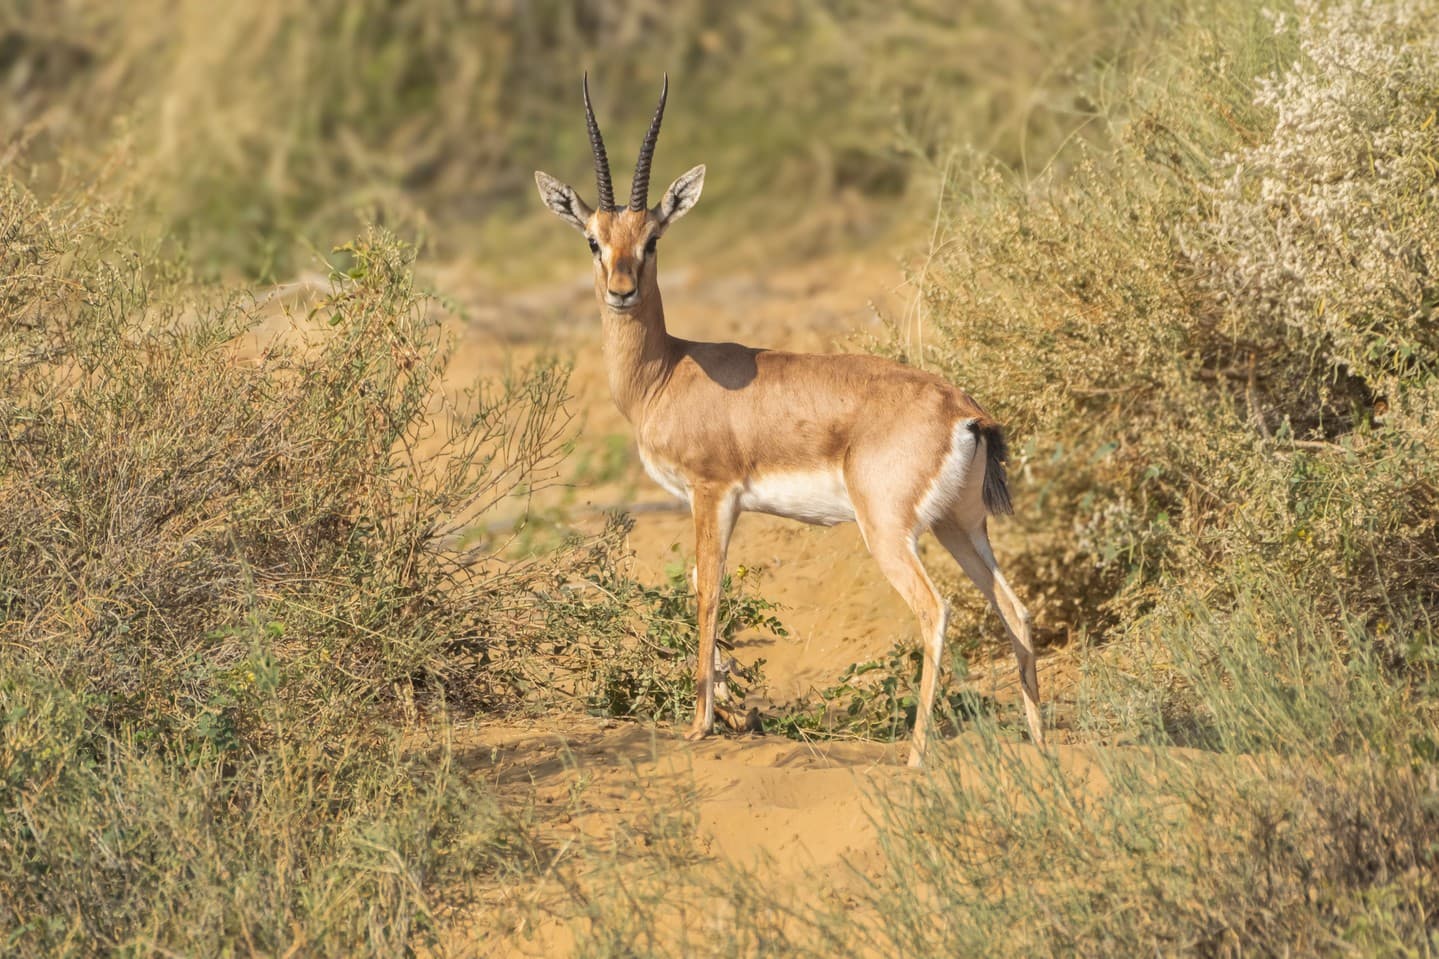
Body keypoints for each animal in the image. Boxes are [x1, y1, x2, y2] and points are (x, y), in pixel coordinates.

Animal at [534, 75, 1042, 766]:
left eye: (652, 239)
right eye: (593, 239)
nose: (620, 291)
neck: (666, 372)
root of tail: (965, 411)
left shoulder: (712, 493)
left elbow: (709, 591)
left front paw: (702, 724)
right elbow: (702, 583)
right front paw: (730, 713)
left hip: (890, 532)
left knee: (934, 611)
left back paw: (915, 755)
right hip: (960, 527)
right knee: (1016, 611)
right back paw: (1042, 744)